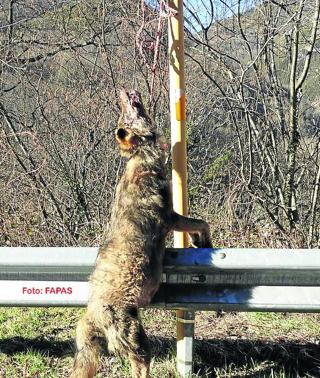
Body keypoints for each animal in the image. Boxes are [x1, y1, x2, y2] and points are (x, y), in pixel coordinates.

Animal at [71, 89, 212, 378]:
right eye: (125, 116)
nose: (123, 92)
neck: (141, 157)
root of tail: (92, 316)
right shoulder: (171, 218)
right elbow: (202, 223)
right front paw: (204, 242)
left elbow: (200, 223)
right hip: (139, 343)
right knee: (140, 370)